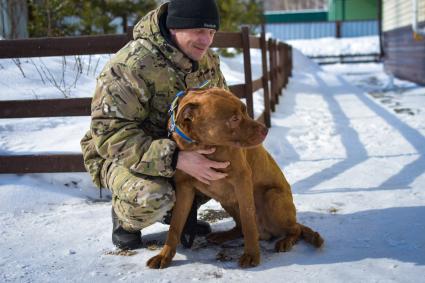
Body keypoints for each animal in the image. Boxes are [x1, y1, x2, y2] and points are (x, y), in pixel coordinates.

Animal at [147, 87, 322, 270]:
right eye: (234, 118)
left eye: (245, 111)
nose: (265, 130)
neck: (202, 144)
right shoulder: (184, 188)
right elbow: (175, 225)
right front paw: (164, 256)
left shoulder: (242, 180)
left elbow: (248, 221)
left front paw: (252, 255)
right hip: (227, 200)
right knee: (240, 227)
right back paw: (224, 235)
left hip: (272, 197)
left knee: (295, 229)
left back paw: (286, 241)